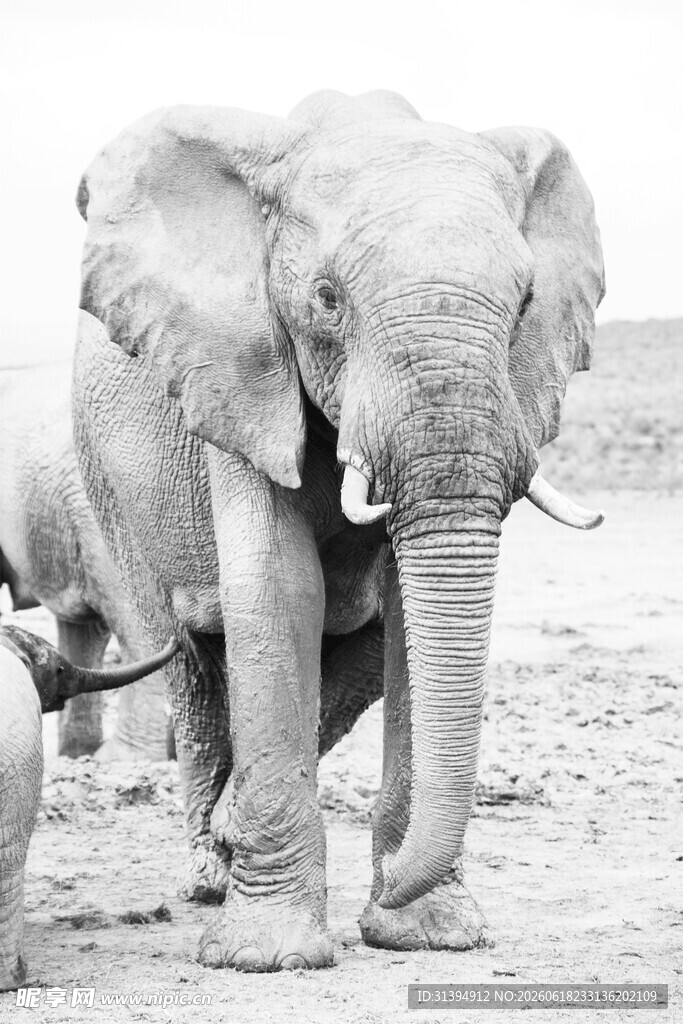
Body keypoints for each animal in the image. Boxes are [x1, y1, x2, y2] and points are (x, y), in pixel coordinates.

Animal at [72, 89, 605, 971]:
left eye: (526, 303)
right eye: (327, 299)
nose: (387, 895)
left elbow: (405, 619)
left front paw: (426, 934)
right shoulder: (241, 377)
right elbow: (277, 589)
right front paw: (264, 958)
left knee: (356, 657)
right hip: (112, 499)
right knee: (188, 664)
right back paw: (209, 875)